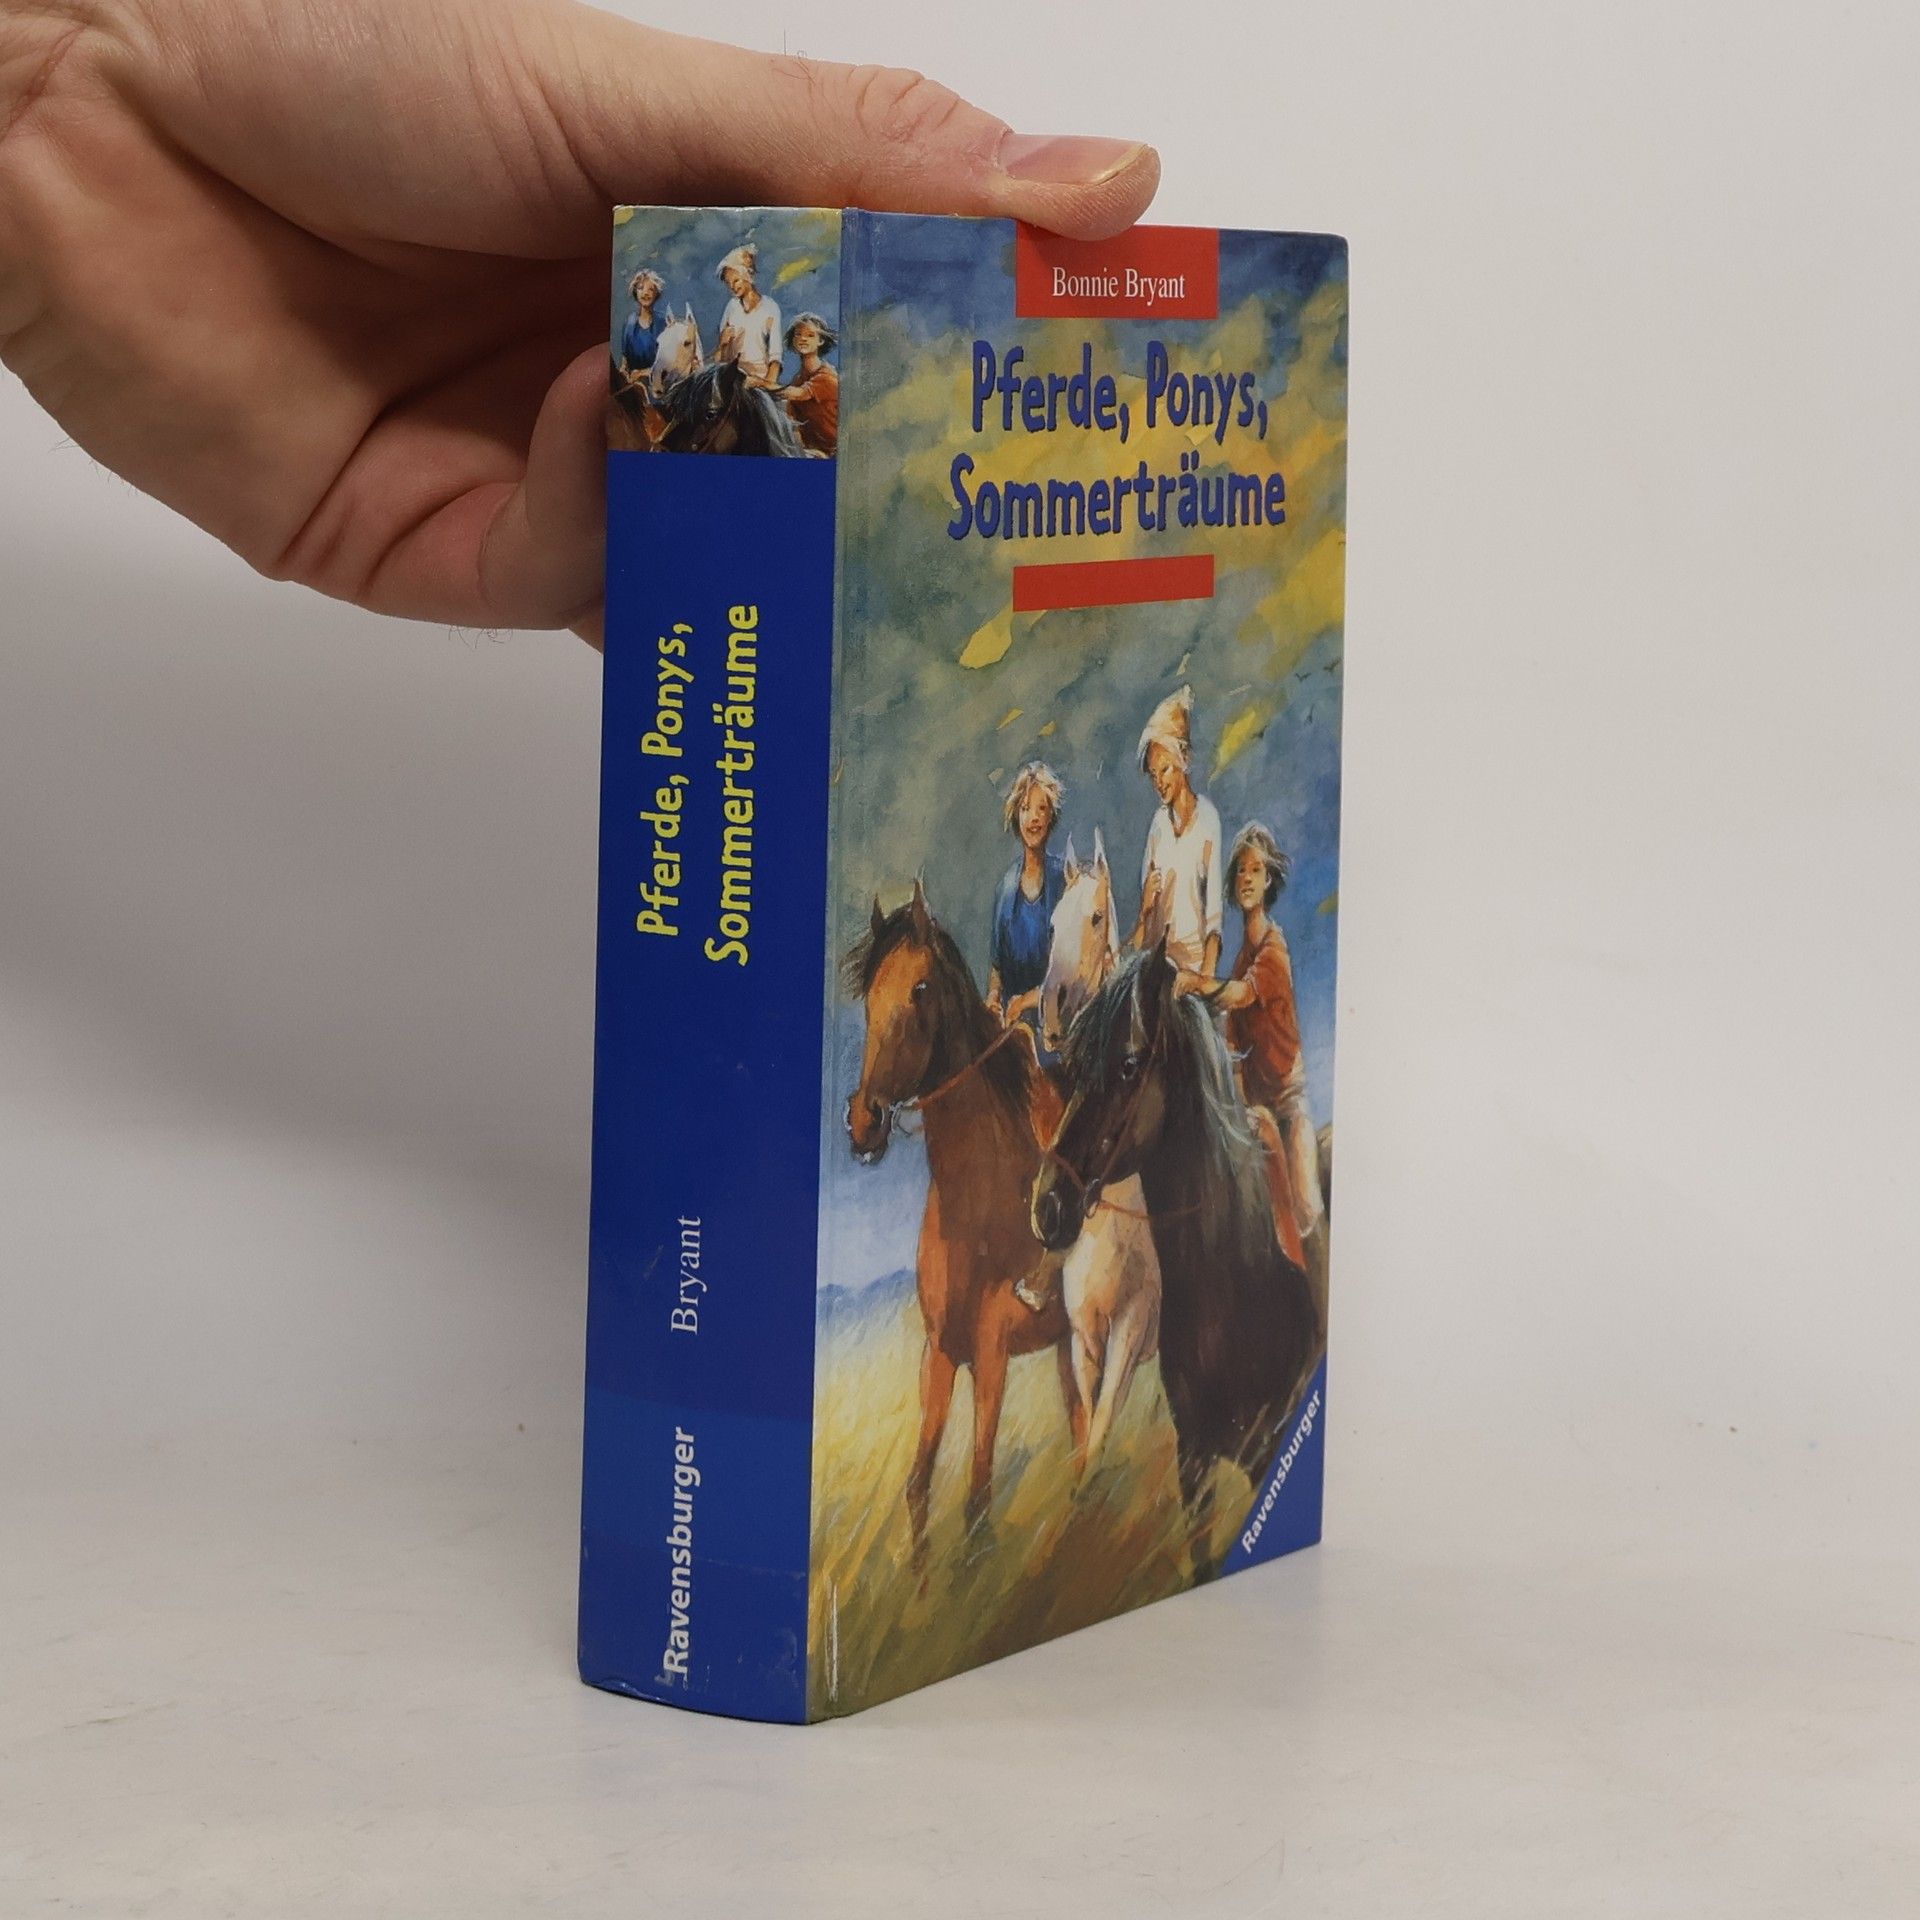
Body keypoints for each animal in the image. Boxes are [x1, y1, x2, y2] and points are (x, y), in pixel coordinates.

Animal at [845, 883, 1086, 1573]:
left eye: (921, 988)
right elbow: (918, 1488)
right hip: (1072, 1343)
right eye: (868, 993)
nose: (864, 1122)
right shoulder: (941, 1351)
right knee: (1083, 1432)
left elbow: (977, 1502)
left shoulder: (992, 1352)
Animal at [1031, 941, 1323, 1577]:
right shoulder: (1195, 1465)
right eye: (1072, 1069)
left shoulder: (1263, 1451)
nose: (1047, 1207)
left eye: (1129, 1063)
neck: (1237, 1291)